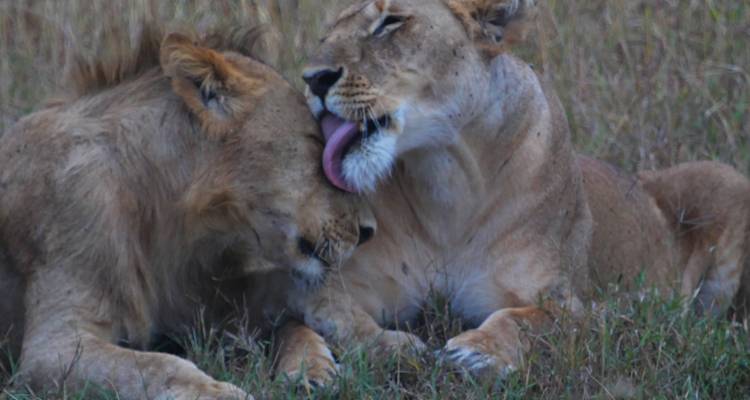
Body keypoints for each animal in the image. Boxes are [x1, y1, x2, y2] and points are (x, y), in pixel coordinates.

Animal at [0, 26, 376, 399]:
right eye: (315, 142)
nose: (369, 230)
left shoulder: (202, 309)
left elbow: (286, 322)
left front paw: (313, 366)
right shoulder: (54, 347)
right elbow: (158, 365)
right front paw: (223, 392)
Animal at [294, 0, 750, 378]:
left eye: (390, 22)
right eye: (326, 34)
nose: (312, 79)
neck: (443, 180)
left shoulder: (579, 306)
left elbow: (526, 320)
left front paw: (477, 351)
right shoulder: (351, 287)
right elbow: (314, 316)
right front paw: (318, 364)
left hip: (726, 179)